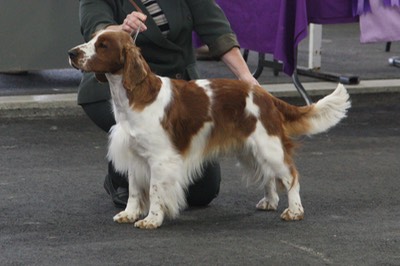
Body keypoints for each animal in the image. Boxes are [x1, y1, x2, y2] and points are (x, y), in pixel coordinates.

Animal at [69, 29, 350, 229]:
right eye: (92, 39)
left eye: (103, 45)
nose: (72, 53)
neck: (134, 96)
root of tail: (266, 95)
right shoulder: (135, 154)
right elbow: (135, 191)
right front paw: (128, 214)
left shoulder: (160, 159)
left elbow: (155, 190)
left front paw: (151, 219)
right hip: (250, 148)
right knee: (270, 175)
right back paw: (270, 202)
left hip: (268, 144)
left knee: (291, 175)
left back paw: (294, 211)